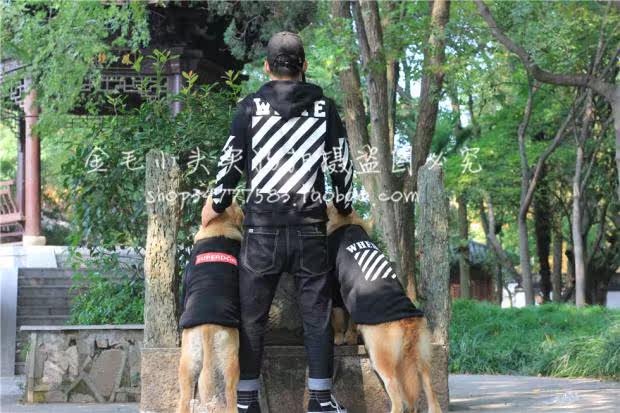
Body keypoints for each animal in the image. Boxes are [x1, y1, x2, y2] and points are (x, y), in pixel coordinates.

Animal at [177, 199, 244, 413]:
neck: (217, 228)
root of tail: (207, 327)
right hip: (231, 363)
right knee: (231, 396)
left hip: (188, 363)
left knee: (185, 399)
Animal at [327, 205, 442, 413]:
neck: (347, 223)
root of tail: (407, 322)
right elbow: (351, 322)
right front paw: (349, 338)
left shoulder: (336, 291)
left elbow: (338, 320)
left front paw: (339, 339)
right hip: (423, 361)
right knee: (431, 394)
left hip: (381, 359)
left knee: (397, 398)